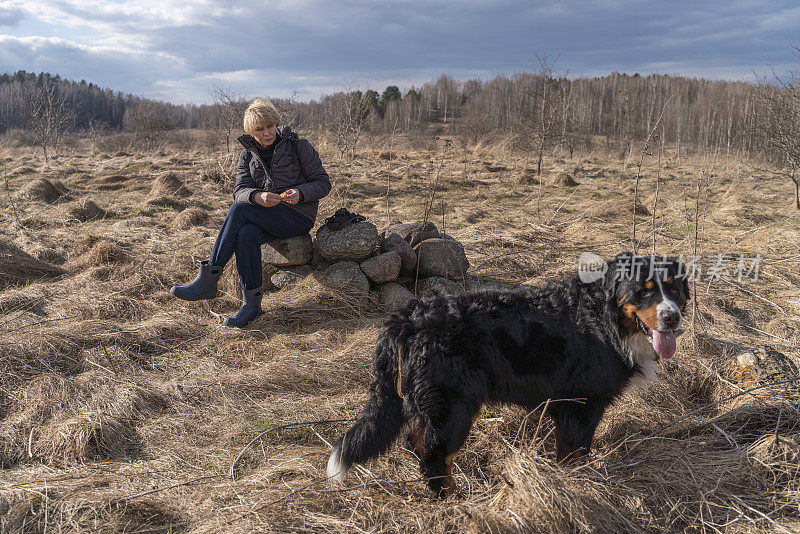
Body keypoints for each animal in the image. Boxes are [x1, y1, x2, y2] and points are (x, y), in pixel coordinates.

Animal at [328, 253, 692, 500]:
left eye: (674, 290)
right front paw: (579, 484)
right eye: (643, 291)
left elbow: (570, 453)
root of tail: (406, 317)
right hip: (452, 408)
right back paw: (454, 500)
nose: (672, 318)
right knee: (432, 456)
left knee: (417, 443)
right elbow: (576, 452)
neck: (605, 320)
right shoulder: (580, 404)